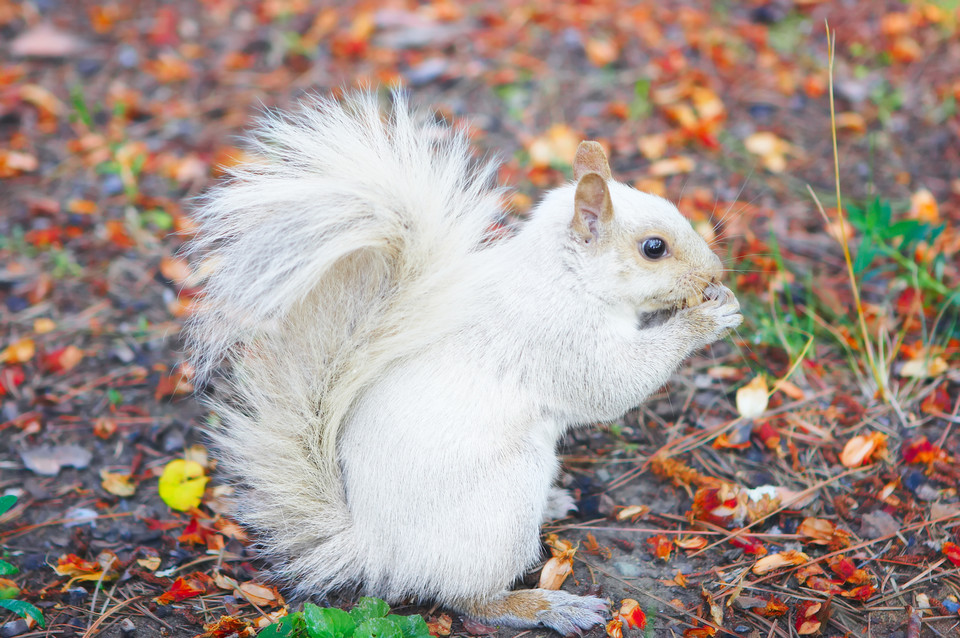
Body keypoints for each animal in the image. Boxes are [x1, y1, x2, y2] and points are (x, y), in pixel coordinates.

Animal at [188, 90, 744, 636]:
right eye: (654, 248)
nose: (714, 273)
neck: (565, 276)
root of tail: (377, 547)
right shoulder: (559, 337)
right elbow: (615, 385)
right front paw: (707, 319)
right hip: (501, 507)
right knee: (470, 599)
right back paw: (547, 606)